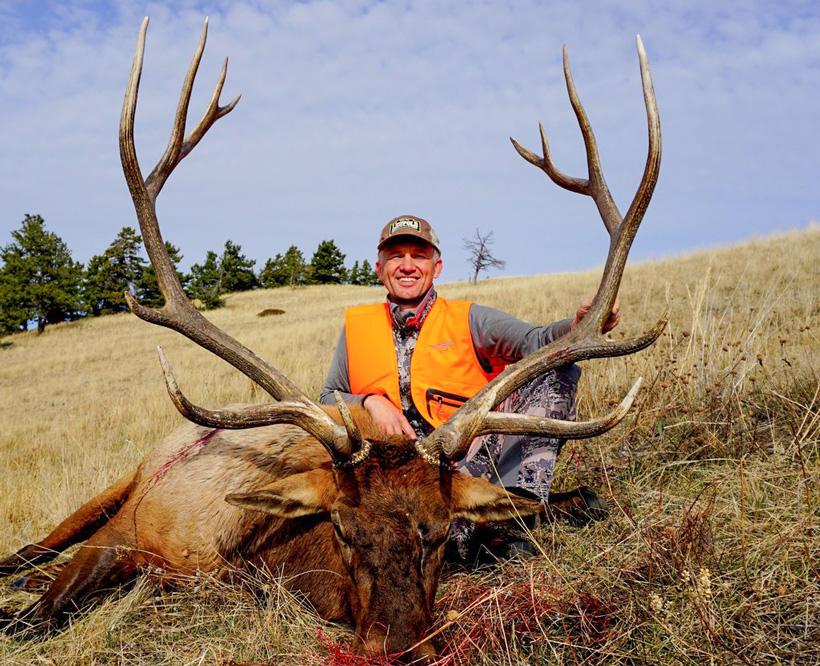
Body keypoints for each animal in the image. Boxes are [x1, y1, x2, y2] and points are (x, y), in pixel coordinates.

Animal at [0, 18, 664, 661]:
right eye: (343, 527)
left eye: (439, 531)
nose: (399, 645)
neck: (245, 555)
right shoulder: (129, 536)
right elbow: (38, 617)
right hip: (119, 485)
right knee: (34, 551)